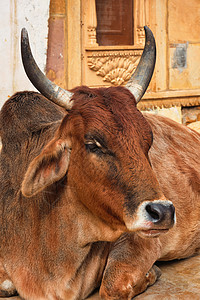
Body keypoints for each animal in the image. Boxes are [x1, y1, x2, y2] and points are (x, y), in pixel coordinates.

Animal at [0, 26, 199, 300]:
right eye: (93, 143)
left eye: (148, 142)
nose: (164, 212)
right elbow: (6, 284)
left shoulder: (141, 240)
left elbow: (112, 288)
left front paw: (151, 274)